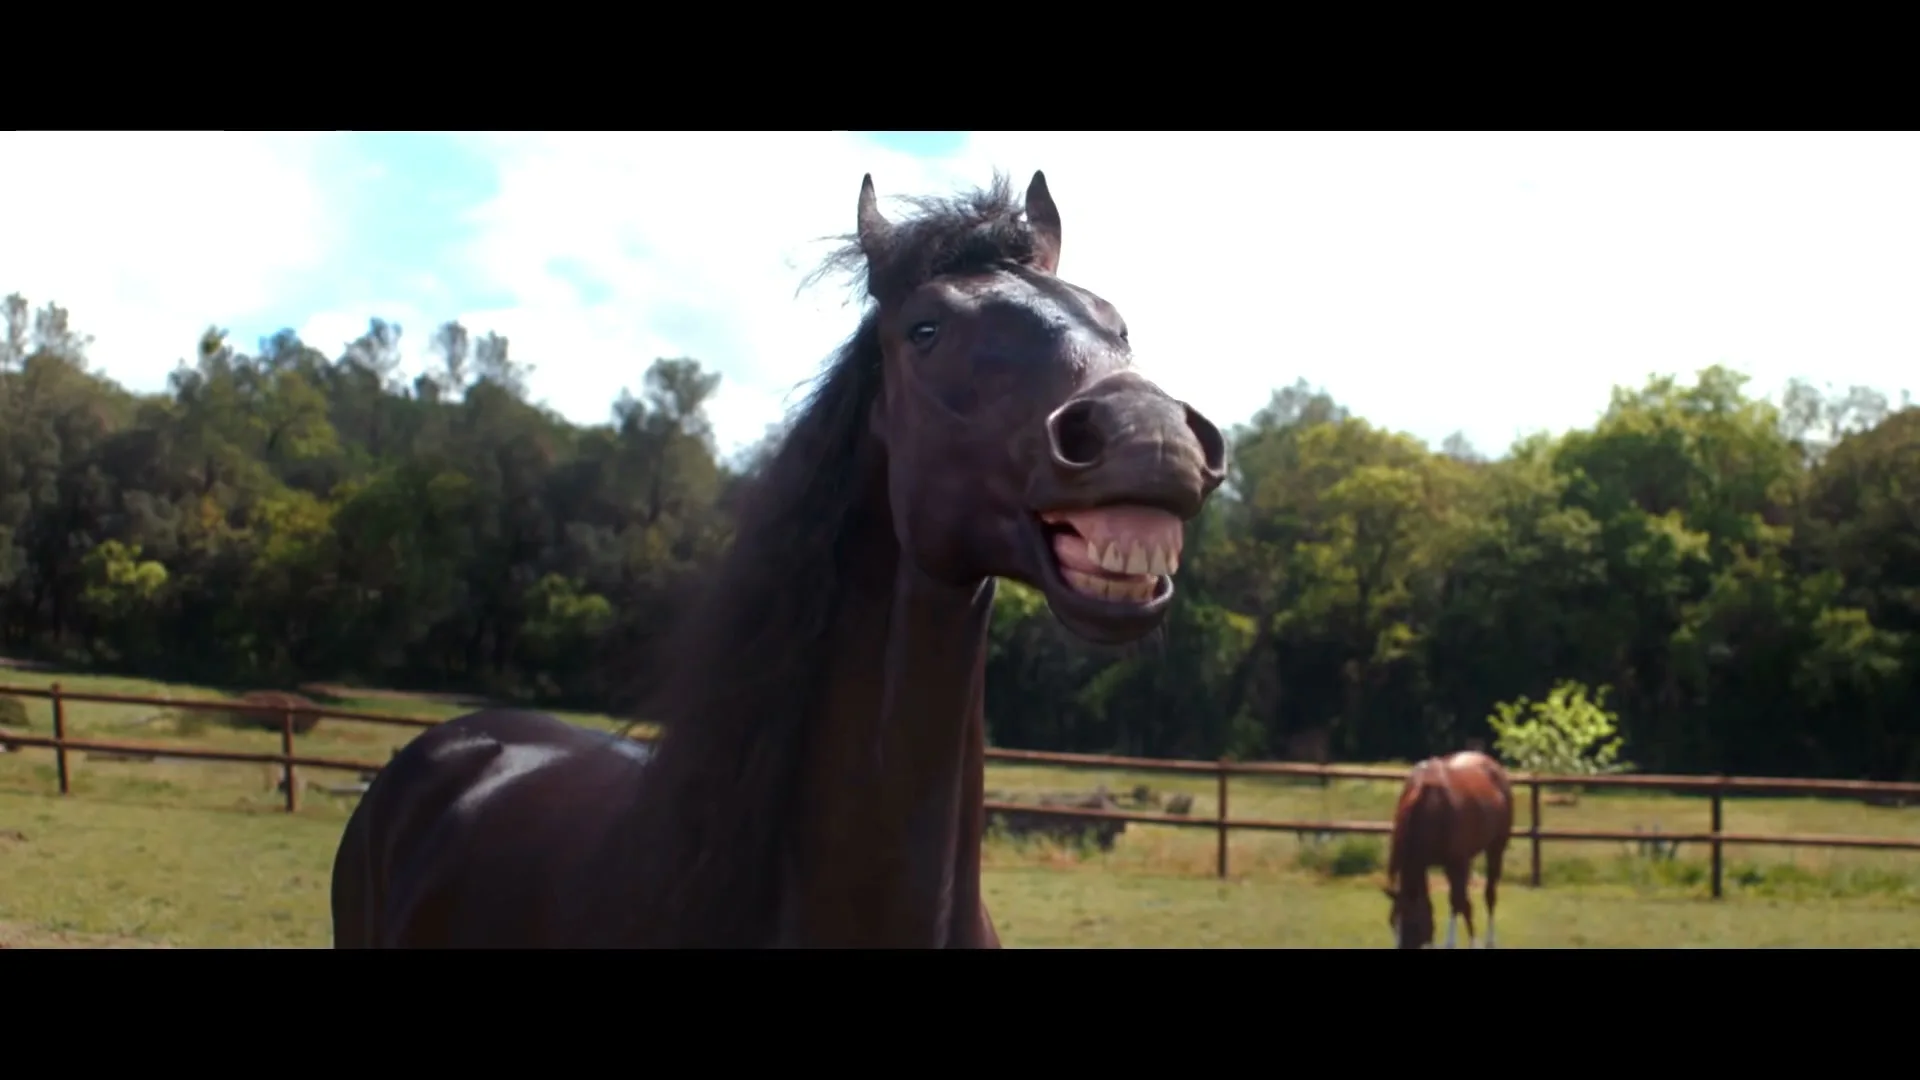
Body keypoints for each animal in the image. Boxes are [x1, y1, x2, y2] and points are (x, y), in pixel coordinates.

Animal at [1381, 750, 1514, 950]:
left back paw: (1490, 939)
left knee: (1489, 894)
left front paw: (1460, 942)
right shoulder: (1428, 864)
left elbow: (1458, 901)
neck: (1431, 806)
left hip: (1495, 849)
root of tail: (1493, 765)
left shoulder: (1456, 862)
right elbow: (1437, 903)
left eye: (1413, 924)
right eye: (1391, 922)